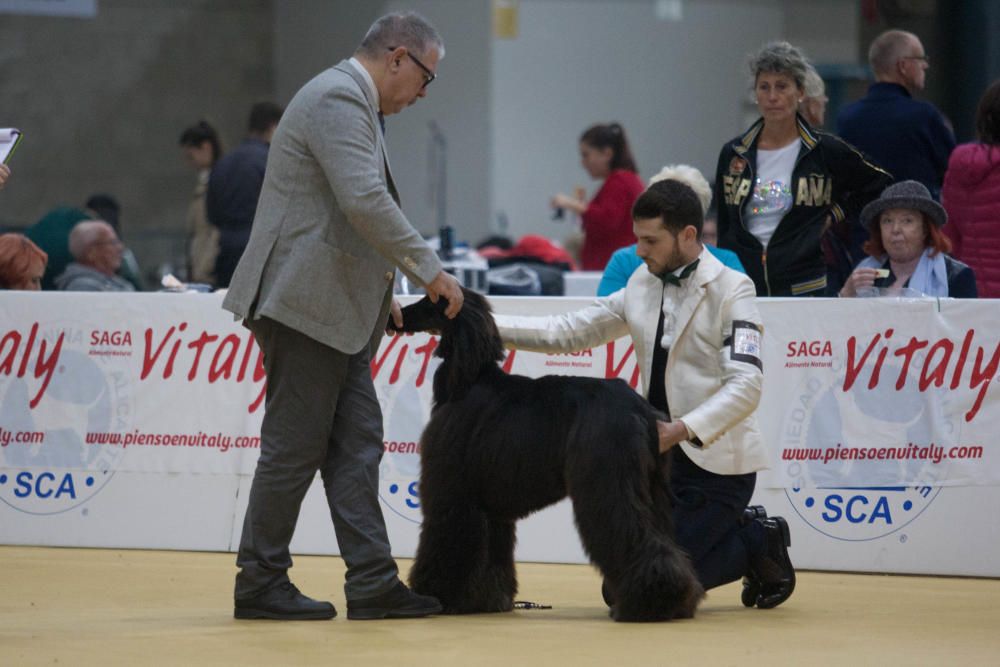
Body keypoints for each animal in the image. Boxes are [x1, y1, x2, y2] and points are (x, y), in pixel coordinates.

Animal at [390, 290, 704, 624]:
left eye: (430, 301)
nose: (397, 317)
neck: (467, 378)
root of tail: (643, 411)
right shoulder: (491, 505)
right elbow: (492, 555)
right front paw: (487, 600)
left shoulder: (454, 490)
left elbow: (446, 541)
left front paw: (439, 594)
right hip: (650, 487)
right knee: (668, 543)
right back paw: (676, 600)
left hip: (609, 483)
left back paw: (649, 602)